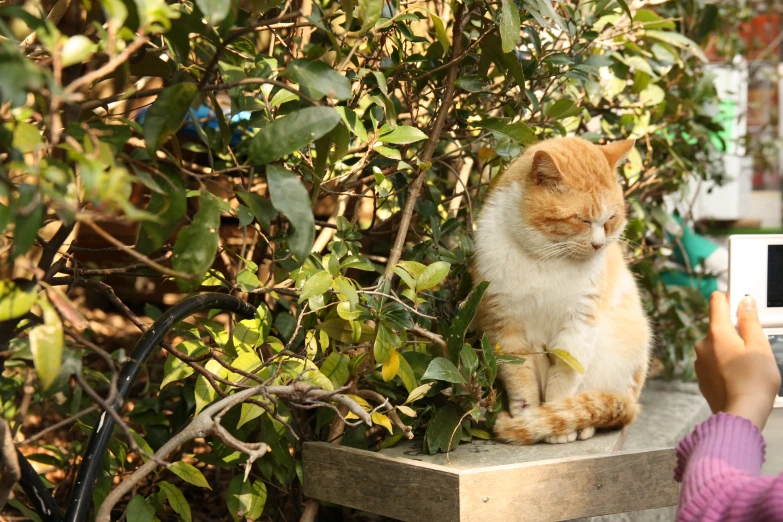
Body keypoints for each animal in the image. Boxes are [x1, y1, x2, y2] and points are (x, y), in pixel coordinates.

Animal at [474, 135, 652, 442]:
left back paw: (582, 424)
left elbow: (564, 380)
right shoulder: (504, 326)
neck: (545, 259)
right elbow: (519, 378)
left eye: (610, 219)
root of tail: (633, 404)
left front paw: (555, 419)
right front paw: (526, 415)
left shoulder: (578, 328)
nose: (598, 244)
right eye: (581, 220)